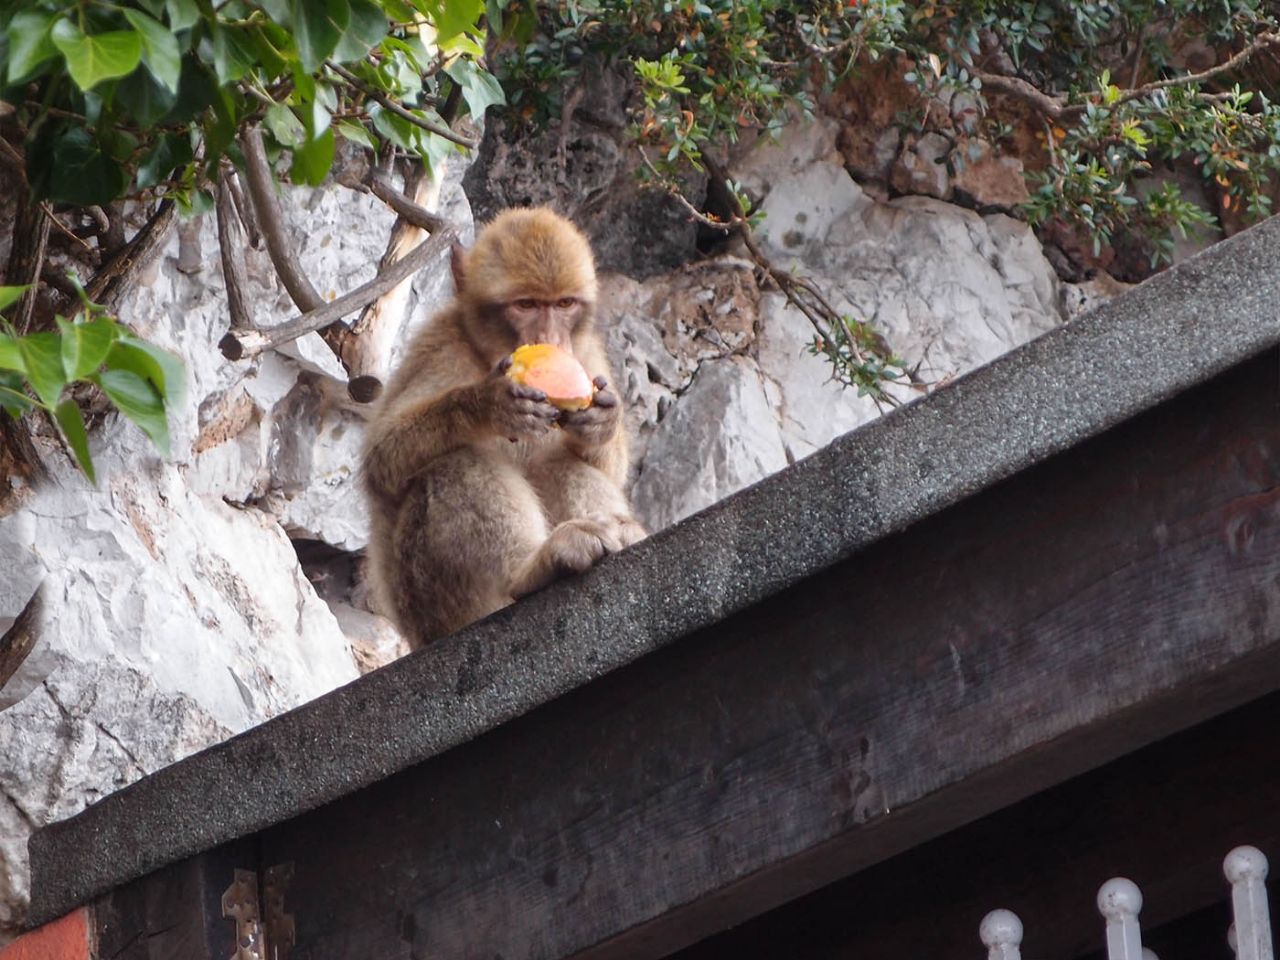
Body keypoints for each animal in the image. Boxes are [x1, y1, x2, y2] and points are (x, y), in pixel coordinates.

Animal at [360, 207, 645, 650]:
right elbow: (381, 463)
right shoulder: (438, 348)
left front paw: (602, 421)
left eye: (563, 303)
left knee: (556, 461)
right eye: (526, 305)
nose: (549, 337)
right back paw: (531, 569)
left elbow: (604, 466)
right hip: (435, 605)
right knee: (457, 460)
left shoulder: (586, 354)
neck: (488, 353)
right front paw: (486, 405)